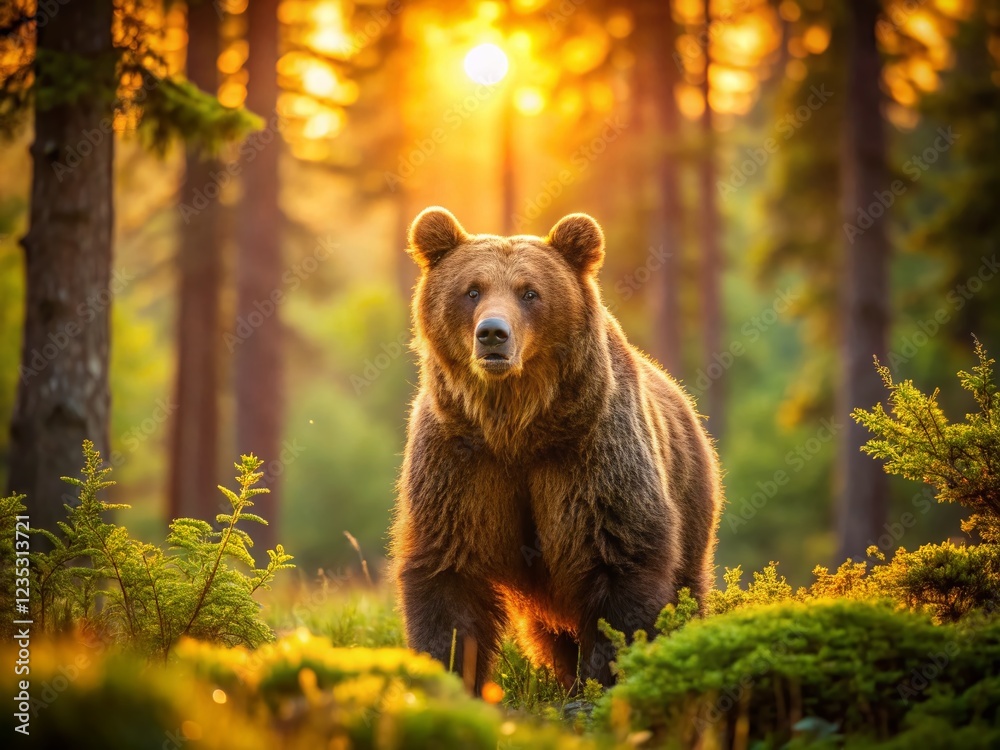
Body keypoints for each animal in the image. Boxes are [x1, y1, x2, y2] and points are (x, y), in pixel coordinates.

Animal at [390, 207, 722, 694]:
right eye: (472, 290)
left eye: (530, 292)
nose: (493, 334)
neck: (516, 427)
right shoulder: (461, 459)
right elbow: (448, 575)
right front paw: (450, 674)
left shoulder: (591, 453)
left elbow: (620, 565)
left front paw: (601, 680)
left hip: (690, 494)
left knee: (684, 587)